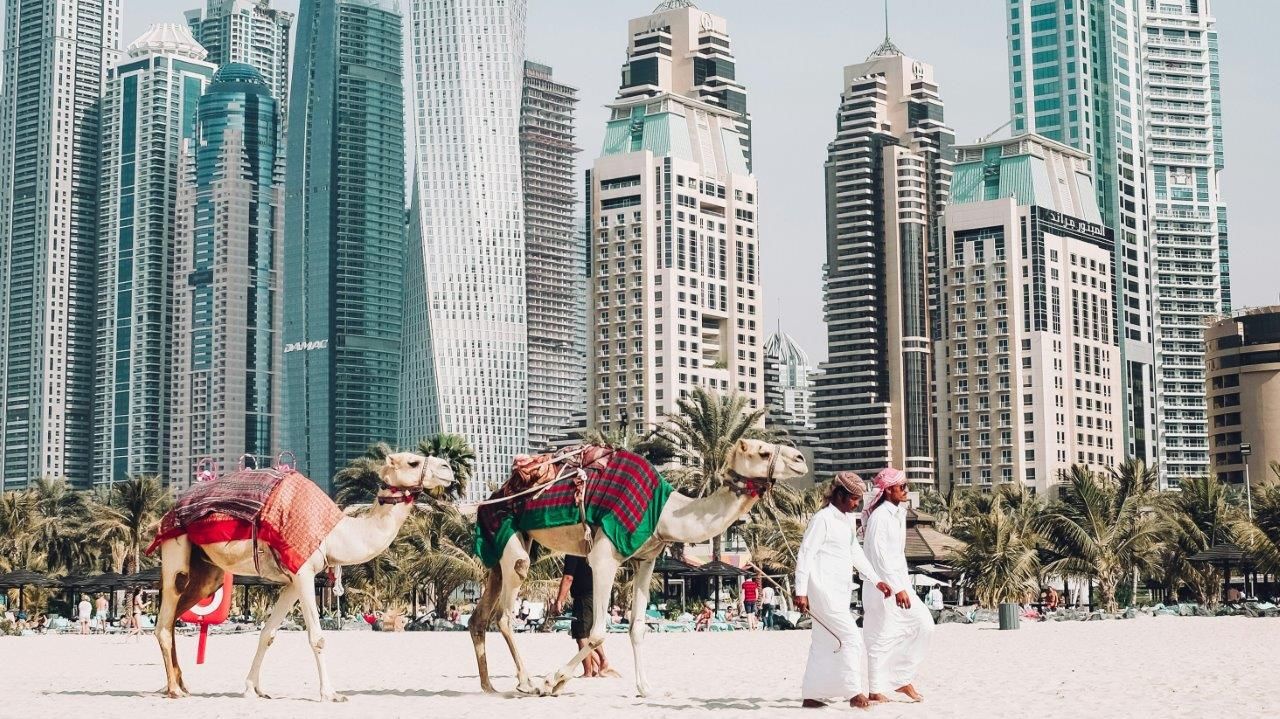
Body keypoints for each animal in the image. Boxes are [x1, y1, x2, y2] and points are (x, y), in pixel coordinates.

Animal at [155, 450, 455, 695]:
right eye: (413, 462)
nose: (448, 468)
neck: (335, 534)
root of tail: (167, 514)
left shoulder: (292, 579)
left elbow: (268, 634)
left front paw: (253, 689)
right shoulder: (304, 573)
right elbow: (317, 638)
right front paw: (330, 694)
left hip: (208, 572)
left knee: (177, 615)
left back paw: (181, 683)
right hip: (176, 546)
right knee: (166, 617)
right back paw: (174, 689)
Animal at [476, 434, 803, 695]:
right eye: (762, 452)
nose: (800, 459)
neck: (664, 513)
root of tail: (492, 496)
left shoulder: (646, 560)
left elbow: (637, 628)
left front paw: (645, 687)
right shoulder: (604, 557)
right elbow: (597, 632)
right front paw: (551, 681)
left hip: (503, 545)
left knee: (481, 615)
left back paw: (488, 686)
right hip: (506, 530)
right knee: (506, 611)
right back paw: (526, 683)